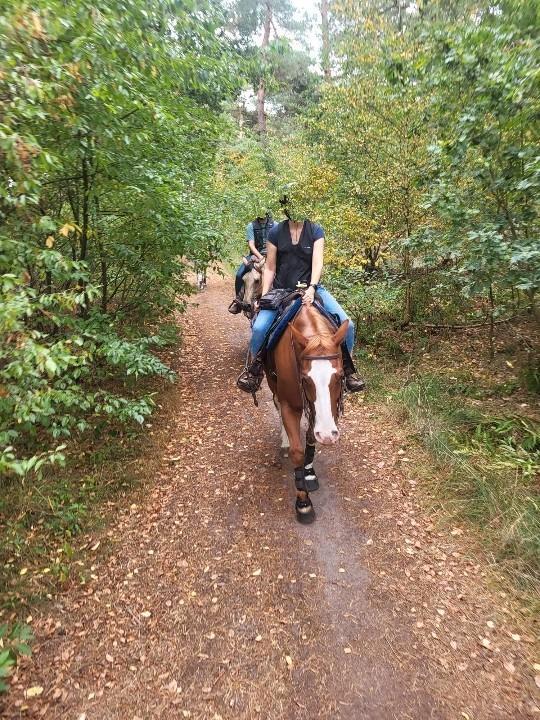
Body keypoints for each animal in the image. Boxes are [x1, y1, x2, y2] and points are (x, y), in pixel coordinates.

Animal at [265, 303, 349, 523]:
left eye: (340, 376)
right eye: (304, 378)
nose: (328, 435)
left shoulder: (323, 411)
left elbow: (311, 437)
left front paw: (309, 473)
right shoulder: (289, 404)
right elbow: (297, 451)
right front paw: (303, 503)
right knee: (277, 405)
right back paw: (284, 442)